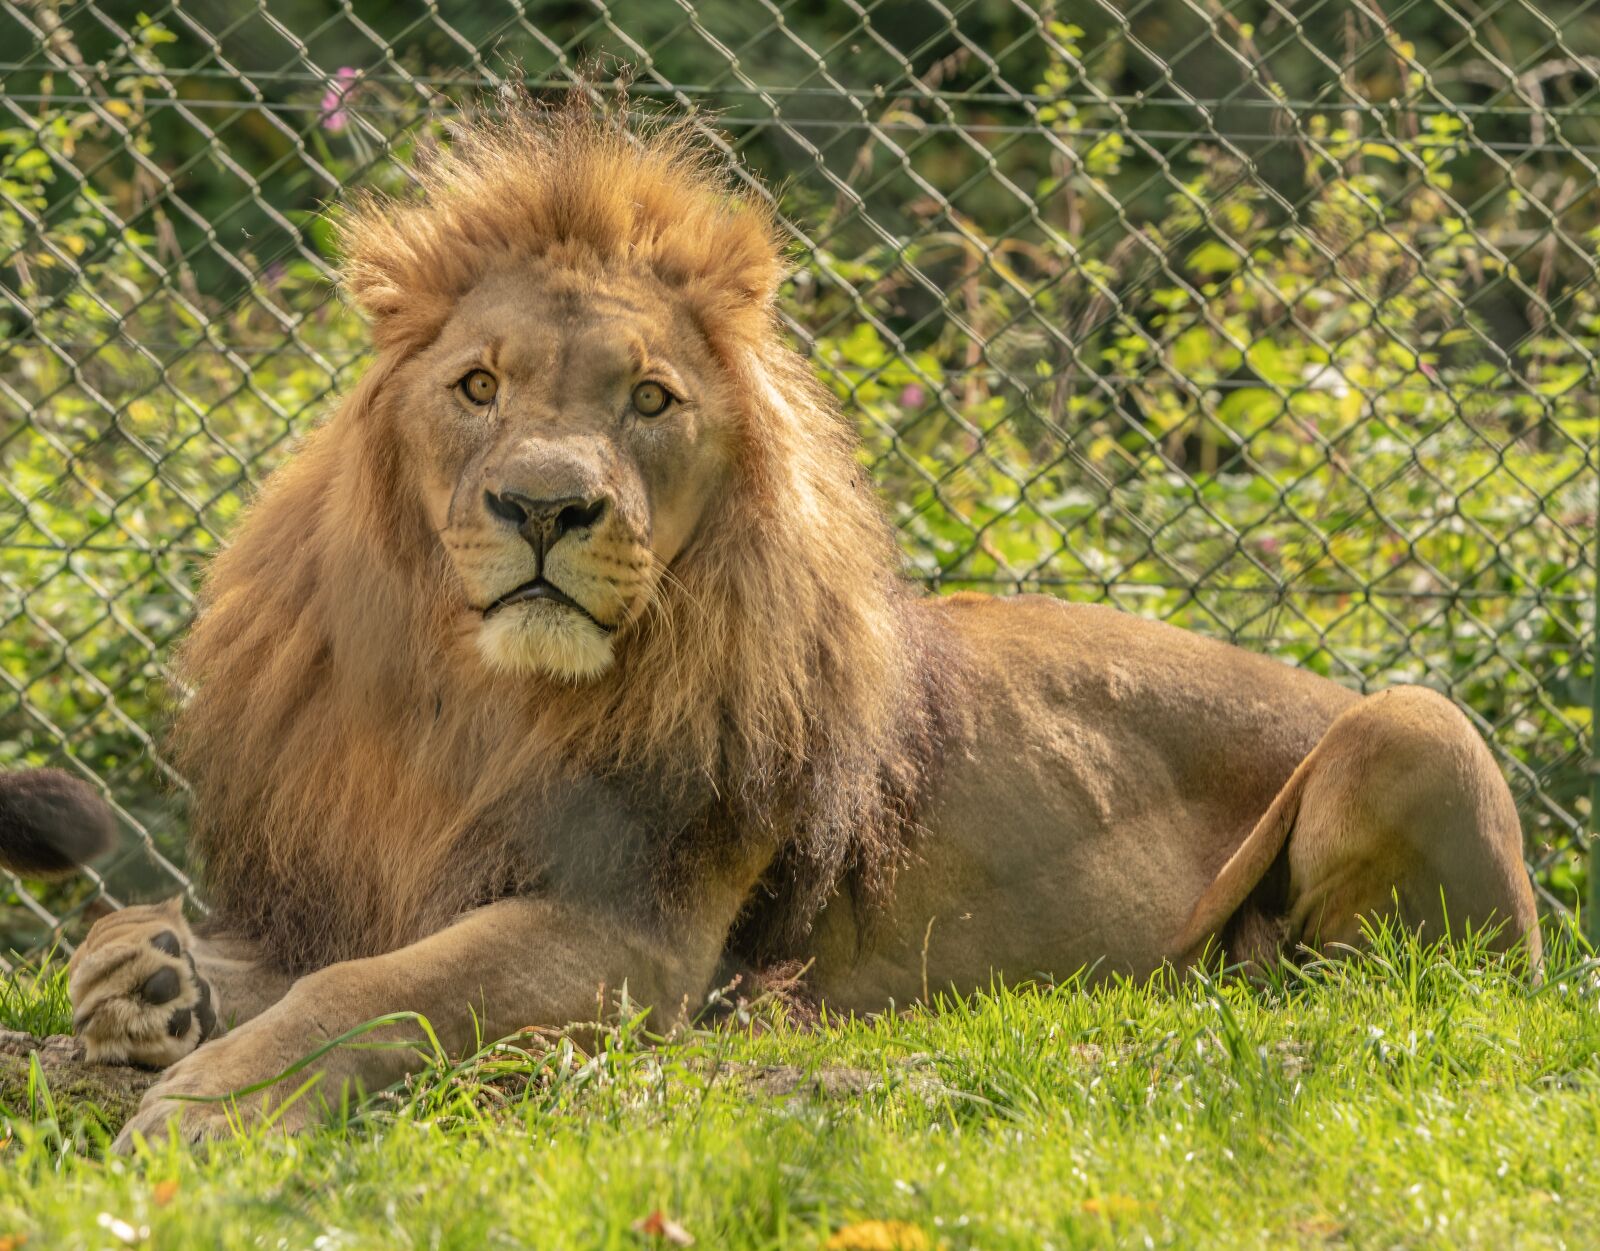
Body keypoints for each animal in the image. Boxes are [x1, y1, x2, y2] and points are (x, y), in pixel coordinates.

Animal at [1, 97, 1538, 1150]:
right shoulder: (338, 882)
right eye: (479, 387)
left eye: (649, 399)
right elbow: (160, 937)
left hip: (1413, 728)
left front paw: (213, 1100)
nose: (544, 506)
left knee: (1375, 993)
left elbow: (378, 990)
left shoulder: (628, 929)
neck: (475, 698)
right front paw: (149, 984)